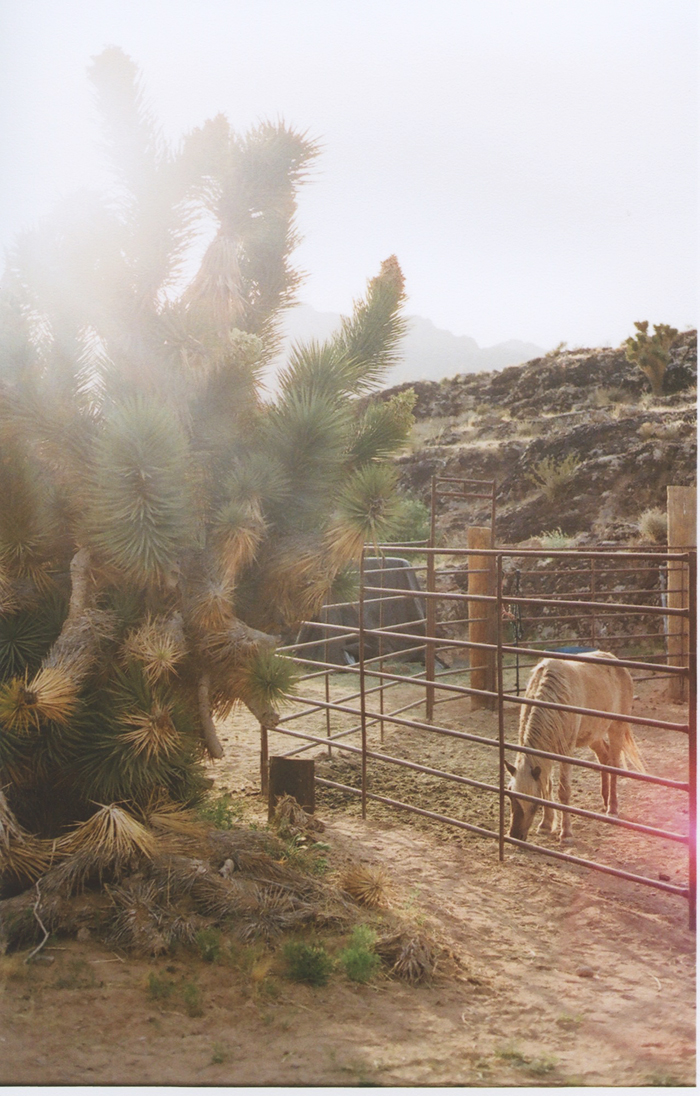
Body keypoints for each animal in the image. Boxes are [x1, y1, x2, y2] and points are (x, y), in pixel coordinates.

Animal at [503, 653, 648, 841]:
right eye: (510, 796)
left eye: (533, 802)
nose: (514, 834)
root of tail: (616, 661)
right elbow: (547, 786)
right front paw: (546, 824)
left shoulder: (566, 751)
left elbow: (563, 791)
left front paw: (566, 833)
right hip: (593, 735)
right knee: (605, 757)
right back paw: (605, 800)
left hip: (616, 728)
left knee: (614, 764)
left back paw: (612, 808)